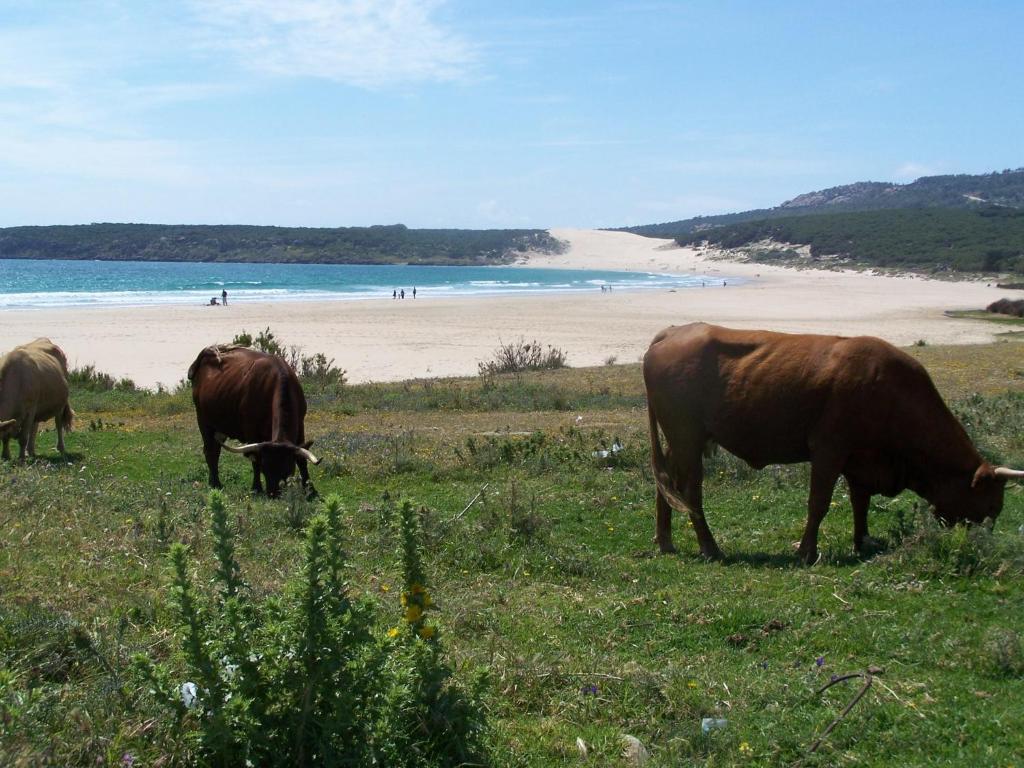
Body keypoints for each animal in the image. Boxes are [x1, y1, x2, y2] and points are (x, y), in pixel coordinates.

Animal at [188, 346, 319, 495]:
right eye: (264, 468)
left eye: (288, 469)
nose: (273, 494)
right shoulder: (251, 430)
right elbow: (254, 459)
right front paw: (256, 488)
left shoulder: (300, 424)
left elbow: (302, 459)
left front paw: (311, 490)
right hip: (204, 423)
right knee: (210, 452)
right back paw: (216, 484)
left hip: (221, 427)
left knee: (215, 450)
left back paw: (213, 482)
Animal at [643, 325, 1019, 565]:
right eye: (991, 507)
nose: (983, 545)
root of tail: (675, 331)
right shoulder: (829, 449)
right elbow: (819, 503)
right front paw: (806, 552)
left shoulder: (860, 460)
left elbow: (860, 503)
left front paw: (862, 542)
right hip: (686, 437)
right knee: (691, 493)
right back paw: (710, 548)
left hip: (679, 441)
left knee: (667, 486)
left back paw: (665, 542)